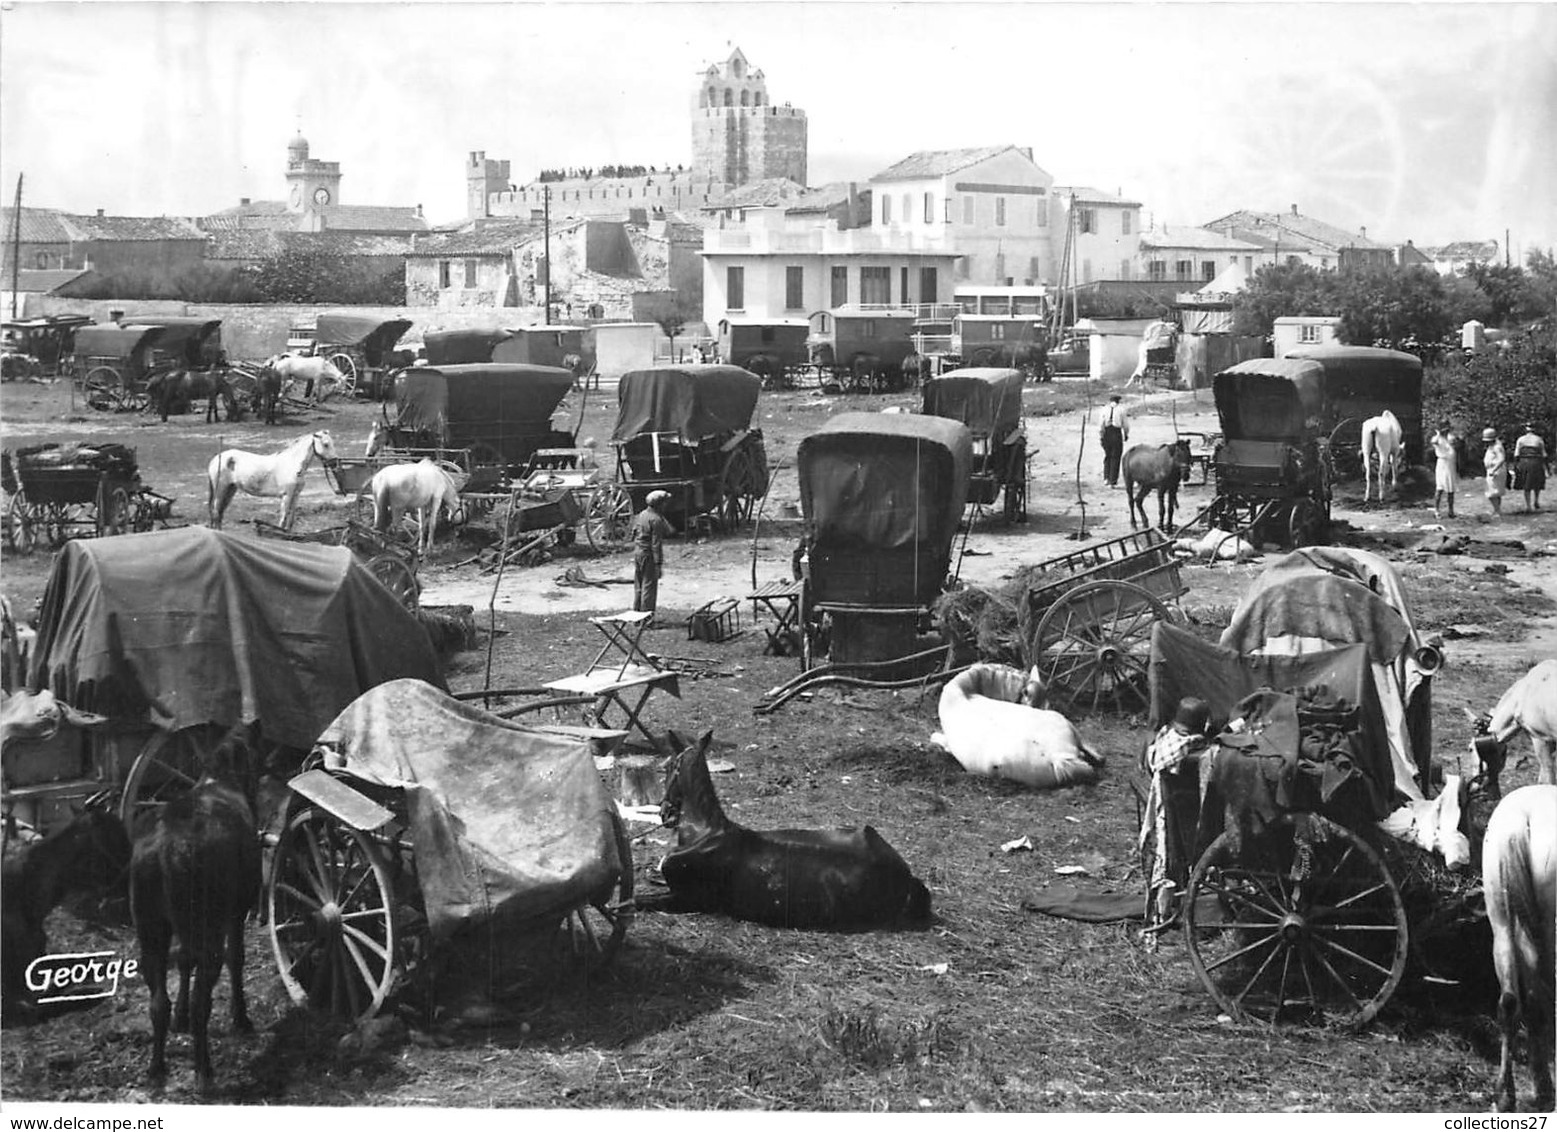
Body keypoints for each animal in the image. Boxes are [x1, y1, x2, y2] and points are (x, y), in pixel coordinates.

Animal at [129, 722, 260, 1096]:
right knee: (205, 996)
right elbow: (236, 958)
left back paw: (156, 1069)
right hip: (206, 926)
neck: (221, 778)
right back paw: (203, 1071)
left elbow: (184, 961)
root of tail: (164, 848)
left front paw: (180, 1018)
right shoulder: (237, 911)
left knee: (158, 1001)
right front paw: (240, 1018)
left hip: (151, 929)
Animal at [207, 429, 337, 532]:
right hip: (221, 490)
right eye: (325, 444)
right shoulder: (286, 495)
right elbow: (283, 520)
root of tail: (216, 458)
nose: (334, 463)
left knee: (220, 512)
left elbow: (291, 520)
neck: (292, 464)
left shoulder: (296, 495)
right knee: (216, 512)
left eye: (332, 443)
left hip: (230, 490)